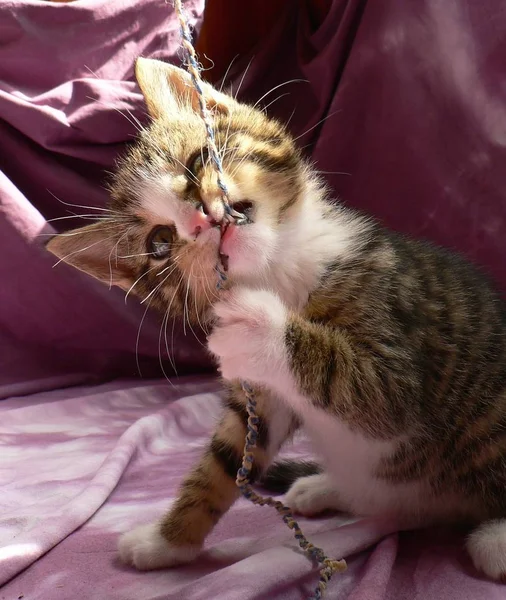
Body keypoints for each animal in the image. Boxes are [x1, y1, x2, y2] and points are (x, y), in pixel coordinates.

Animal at [48, 57, 506, 580]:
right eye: (160, 243)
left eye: (196, 162)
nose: (202, 219)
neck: (279, 271)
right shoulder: (262, 402)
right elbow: (225, 462)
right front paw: (168, 542)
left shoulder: (399, 349)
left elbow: (365, 385)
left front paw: (257, 326)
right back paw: (326, 486)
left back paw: (495, 538)